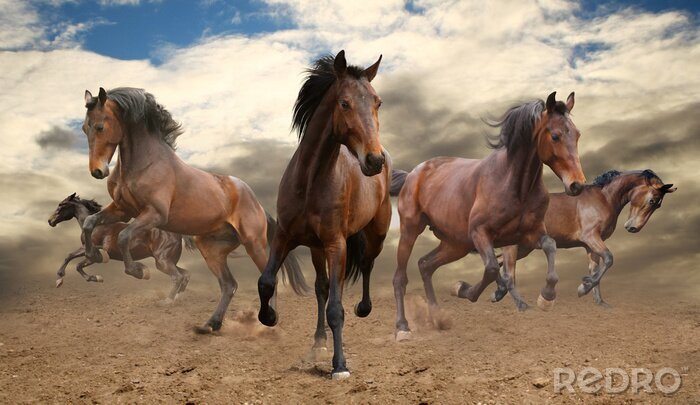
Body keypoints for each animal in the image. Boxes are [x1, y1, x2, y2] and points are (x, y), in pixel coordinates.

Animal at [48, 193, 190, 300]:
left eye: (61, 206)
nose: (50, 221)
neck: (95, 226)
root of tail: (178, 234)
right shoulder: (91, 254)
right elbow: (77, 264)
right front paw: (97, 278)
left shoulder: (91, 250)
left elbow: (72, 257)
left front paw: (59, 278)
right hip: (166, 262)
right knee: (185, 274)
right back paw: (177, 297)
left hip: (162, 261)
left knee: (178, 277)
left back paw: (168, 301)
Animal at [80, 87, 308, 333]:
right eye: (84, 128)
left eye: (100, 126)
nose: (97, 171)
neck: (145, 163)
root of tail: (257, 203)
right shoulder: (122, 210)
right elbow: (90, 223)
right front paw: (94, 255)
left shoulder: (154, 214)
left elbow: (123, 235)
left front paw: (140, 271)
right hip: (211, 249)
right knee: (229, 285)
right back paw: (210, 325)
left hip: (253, 243)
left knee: (266, 278)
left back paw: (268, 320)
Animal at [257, 50, 390, 380]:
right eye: (344, 103)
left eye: (378, 102)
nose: (374, 160)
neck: (309, 182)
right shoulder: (284, 237)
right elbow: (266, 281)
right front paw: (269, 317)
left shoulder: (336, 244)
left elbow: (336, 309)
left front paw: (340, 366)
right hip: (316, 248)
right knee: (321, 287)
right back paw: (318, 342)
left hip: (375, 234)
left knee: (366, 264)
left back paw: (363, 309)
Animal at [390, 92, 587, 339]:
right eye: (555, 135)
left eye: (577, 134)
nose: (577, 185)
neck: (515, 185)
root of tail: (412, 175)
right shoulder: (480, 233)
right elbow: (492, 268)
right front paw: (464, 289)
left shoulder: (531, 233)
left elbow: (550, 246)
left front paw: (547, 297)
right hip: (411, 230)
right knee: (400, 277)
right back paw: (402, 328)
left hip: (456, 244)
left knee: (425, 265)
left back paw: (438, 318)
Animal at [492, 169, 676, 309]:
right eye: (652, 200)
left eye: (658, 205)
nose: (633, 228)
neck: (604, 198)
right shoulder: (591, 237)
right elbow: (609, 259)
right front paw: (583, 287)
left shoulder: (590, 246)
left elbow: (596, 269)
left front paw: (599, 302)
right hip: (513, 247)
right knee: (509, 274)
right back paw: (520, 304)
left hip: (523, 249)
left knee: (499, 265)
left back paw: (497, 294)